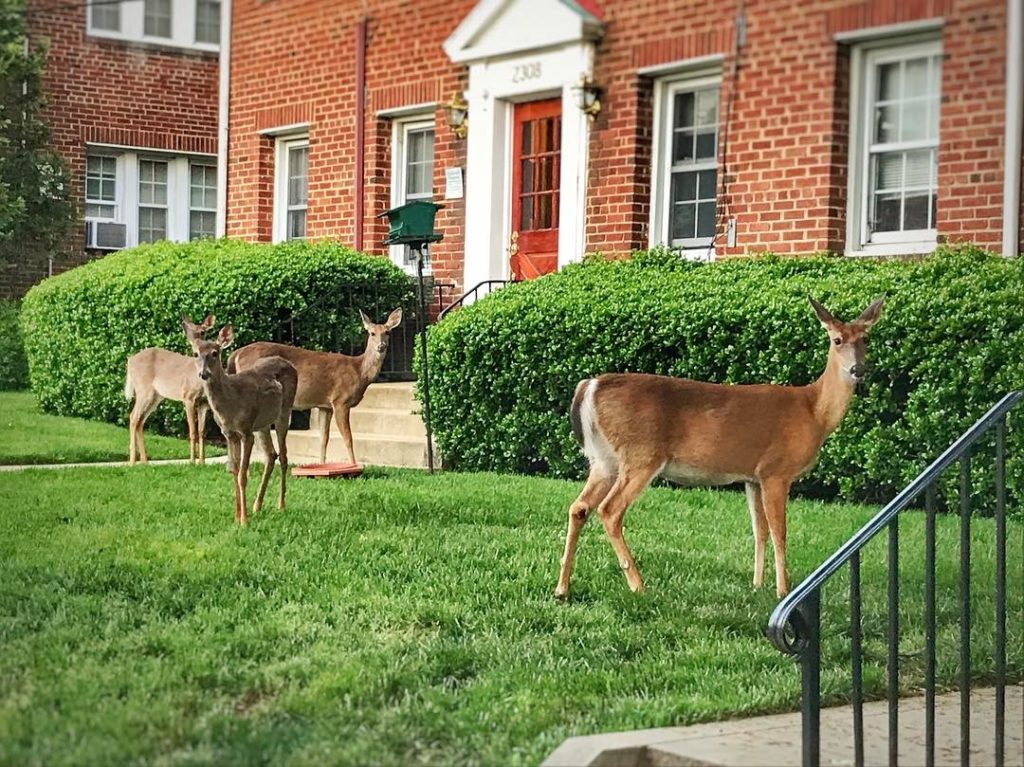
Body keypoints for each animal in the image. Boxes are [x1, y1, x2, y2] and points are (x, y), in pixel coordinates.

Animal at [184, 313, 299, 524]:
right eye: (196, 354)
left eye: (215, 353)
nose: (203, 373)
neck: (231, 402)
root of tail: (290, 365)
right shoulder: (229, 434)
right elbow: (234, 471)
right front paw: (237, 517)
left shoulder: (246, 431)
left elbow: (243, 475)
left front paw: (244, 521)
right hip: (262, 423)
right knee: (271, 454)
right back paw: (257, 505)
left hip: (284, 411)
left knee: (284, 455)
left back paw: (281, 505)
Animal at [228, 307, 403, 462]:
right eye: (372, 333)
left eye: (387, 332)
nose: (381, 346)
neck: (359, 371)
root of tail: (236, 353)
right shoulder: (340, 400)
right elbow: (348, 437)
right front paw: (354, 465)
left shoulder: (324, 406)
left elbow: (323, 438)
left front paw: (322, 465)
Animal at [557, 296, 884, 602]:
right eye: (836, 339)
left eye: (866, 339)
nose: (857, 369)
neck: (814, 411)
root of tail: (590, 385)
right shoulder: (776, 471)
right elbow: (779, 532)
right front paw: (782, 590)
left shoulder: (752, 477)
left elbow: (759, 530)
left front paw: (756, 584)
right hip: (640, 454)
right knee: (609, 510)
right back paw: (638, 585)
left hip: (604, 460)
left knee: (579, 507)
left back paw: (562, 589)